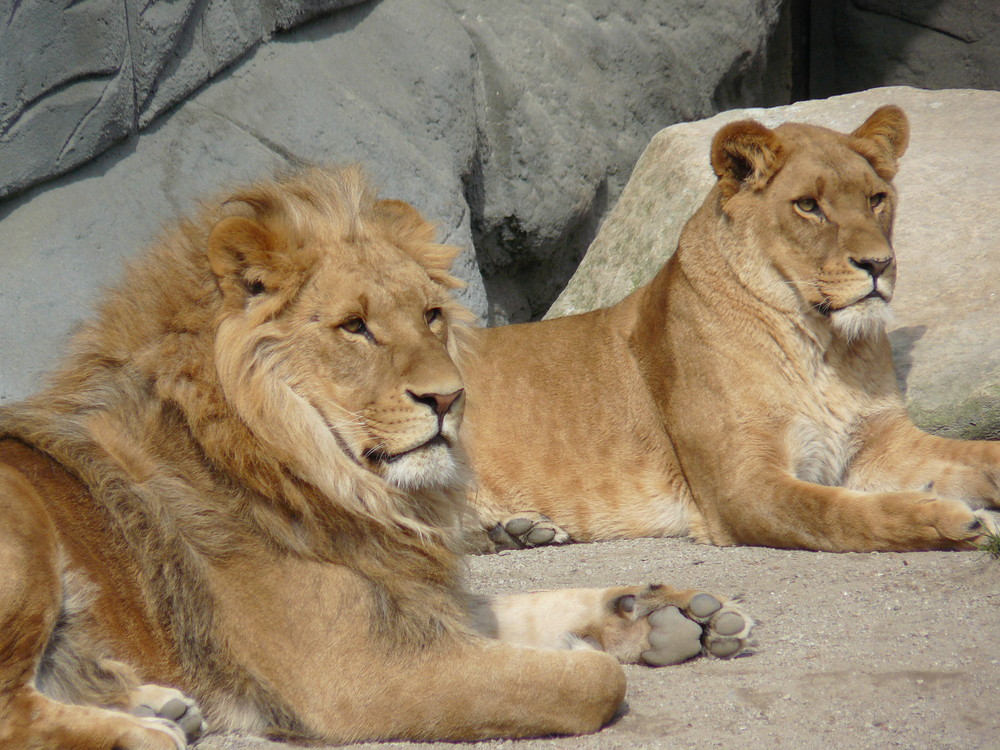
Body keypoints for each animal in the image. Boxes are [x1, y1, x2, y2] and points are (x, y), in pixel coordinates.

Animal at [0, 167, 752, 748]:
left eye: (430, 316)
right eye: (354, 327)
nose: (450, 397)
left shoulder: (408, 599)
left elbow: (529, 603)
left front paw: (663, 612)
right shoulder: (354, 674)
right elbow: (589, 681)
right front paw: (601, 644)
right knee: (13, 712)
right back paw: (146, 729)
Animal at [466, 106, 1000, 552]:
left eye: (876, 199)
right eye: (808, 206)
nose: (879, 264)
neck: (823, 346)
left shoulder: (882, 443)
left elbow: (982, 453)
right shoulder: (742, 487)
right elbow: (838, 514)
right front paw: (953, 520)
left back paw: (518, 531)